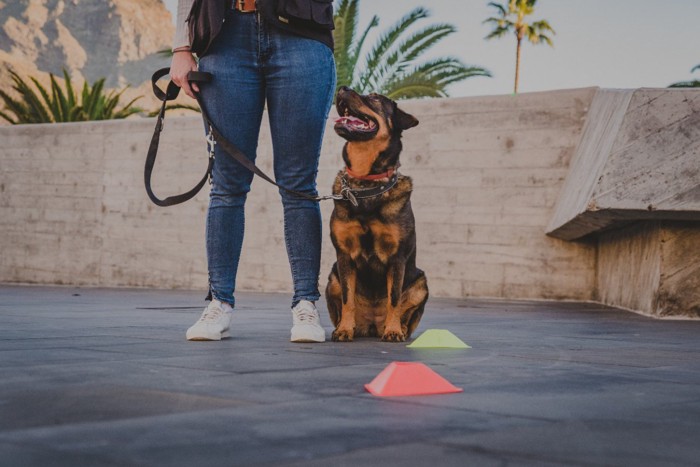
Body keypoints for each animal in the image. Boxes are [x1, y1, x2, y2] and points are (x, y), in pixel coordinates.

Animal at [326, 87, 430, 344]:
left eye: (374, 98)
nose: (342, 88)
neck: (366, 182)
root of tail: (372, 325)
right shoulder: (344, 256)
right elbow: (348, 299)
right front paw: (344, 329)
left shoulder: (397, 258)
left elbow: (394, 299)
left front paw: (393, 331)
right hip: (332, 277)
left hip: (421, 283)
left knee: (405, 312)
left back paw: (397, 327)